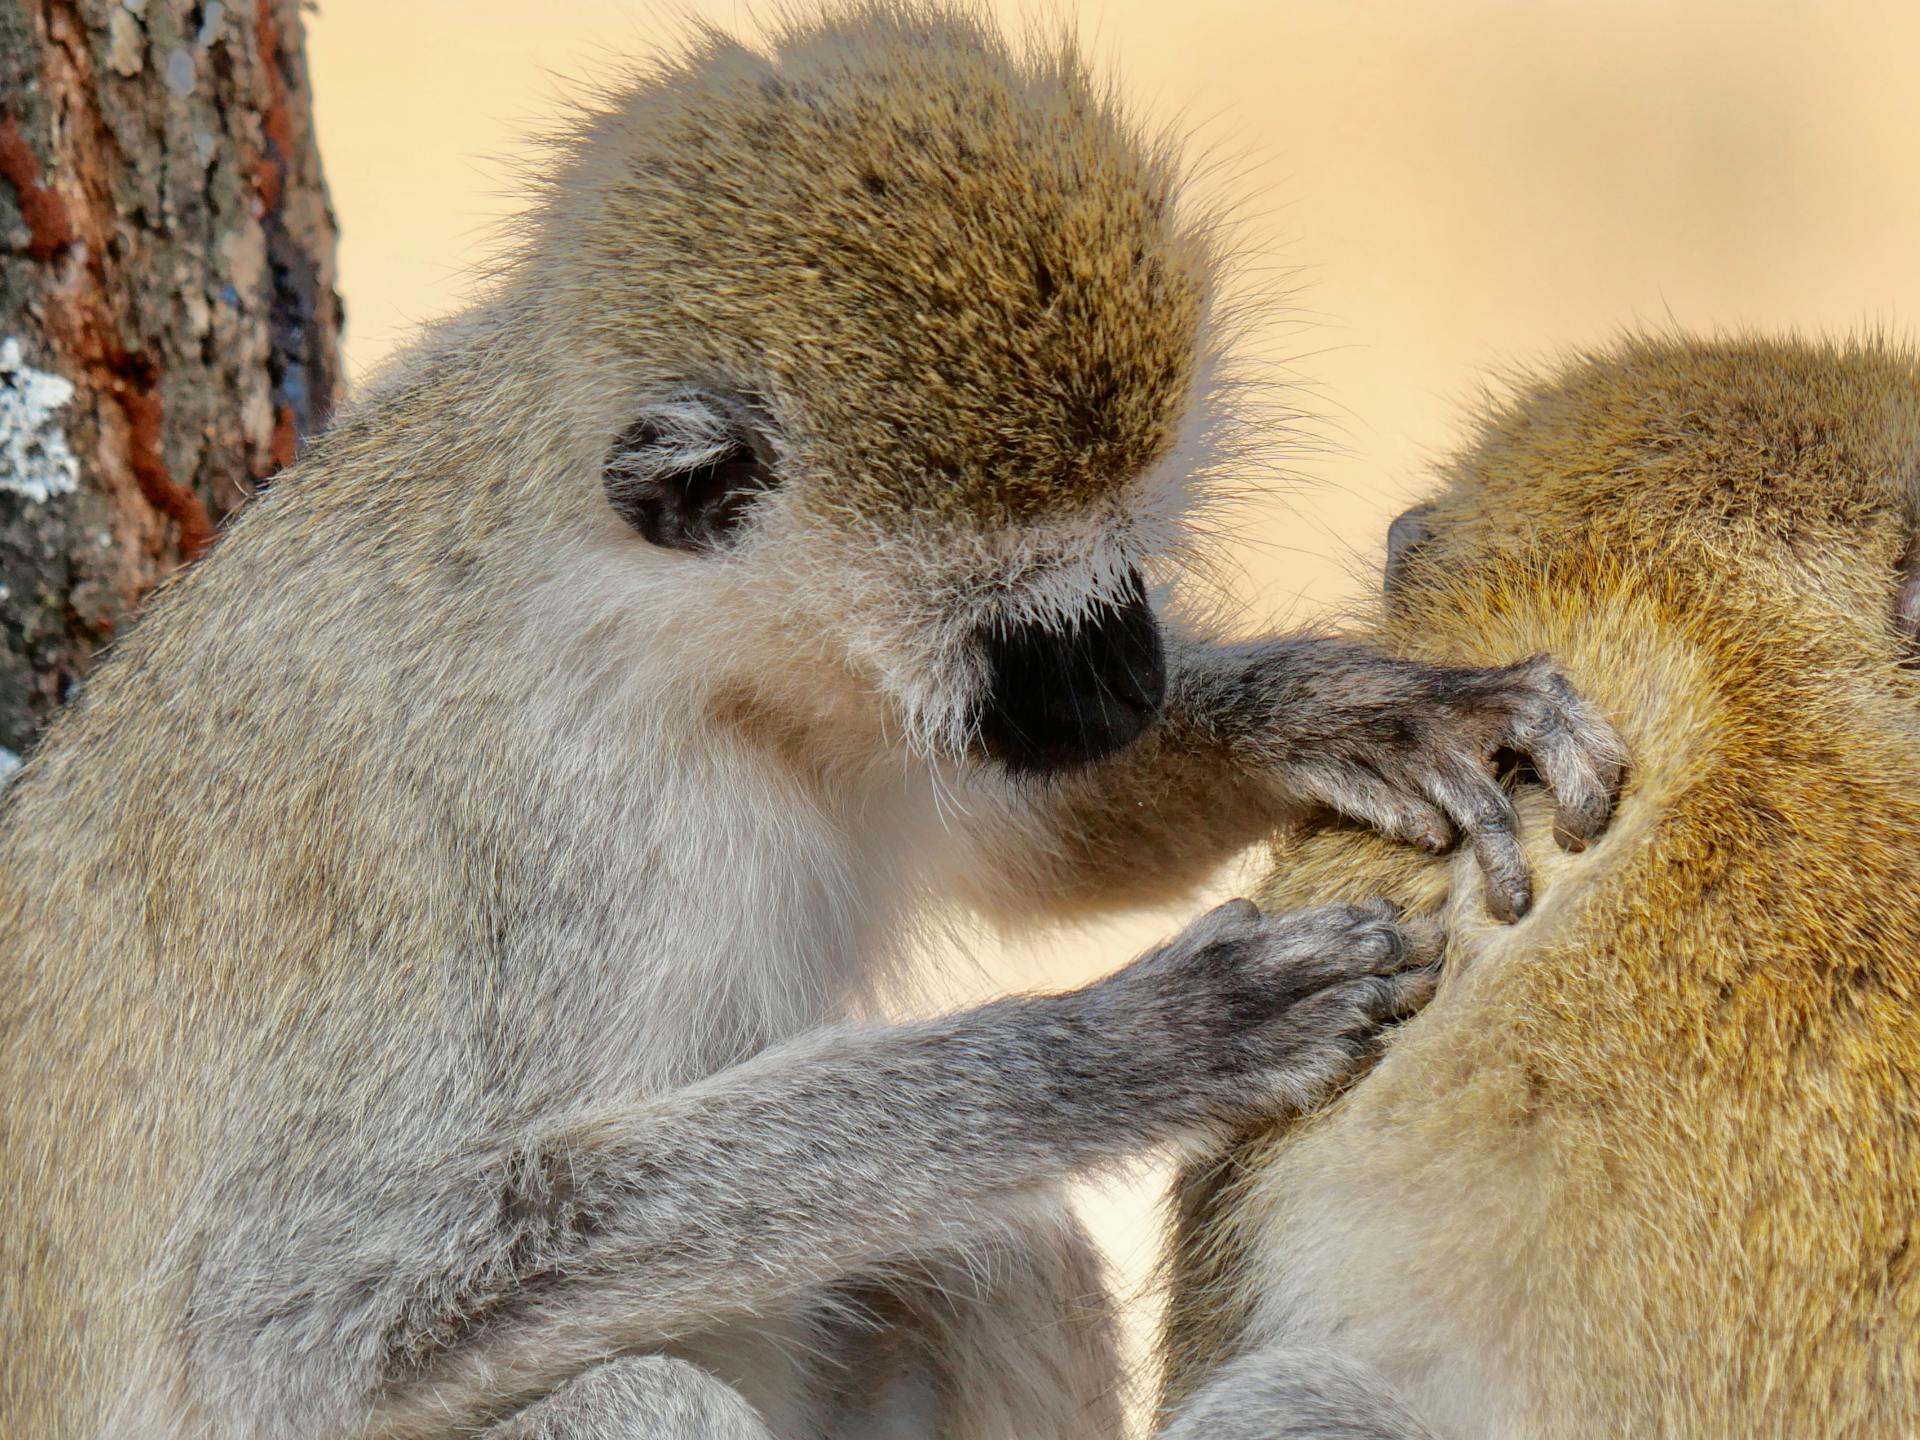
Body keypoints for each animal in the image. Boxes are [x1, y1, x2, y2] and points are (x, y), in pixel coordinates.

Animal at [0, 5, 1620, 1436]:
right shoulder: (539, 839)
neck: (663, 649)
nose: (1137, 686)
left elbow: (1023, 837)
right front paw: (1125, 1046)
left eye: (1132, 574)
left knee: (973, 1253)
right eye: (1039, 627)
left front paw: (1367, 709)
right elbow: (298, 1316)